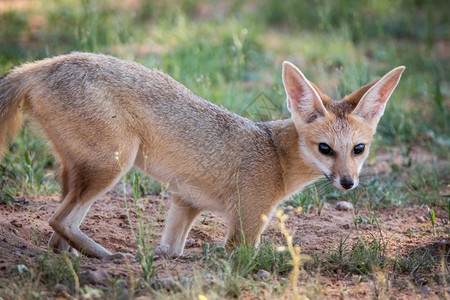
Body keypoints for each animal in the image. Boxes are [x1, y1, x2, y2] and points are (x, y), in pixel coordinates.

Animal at [0, 53, 406, 258]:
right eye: (325, 149)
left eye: (358, 149)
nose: (348, 182)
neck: (273, 153)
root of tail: (39, 65)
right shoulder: (245, 230)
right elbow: (250, 257)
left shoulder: (185, 202)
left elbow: (172, 249)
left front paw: (164, 258)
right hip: (112, 166)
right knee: (60, 221)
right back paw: (109, 257)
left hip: (80, 171)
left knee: (57, 235)